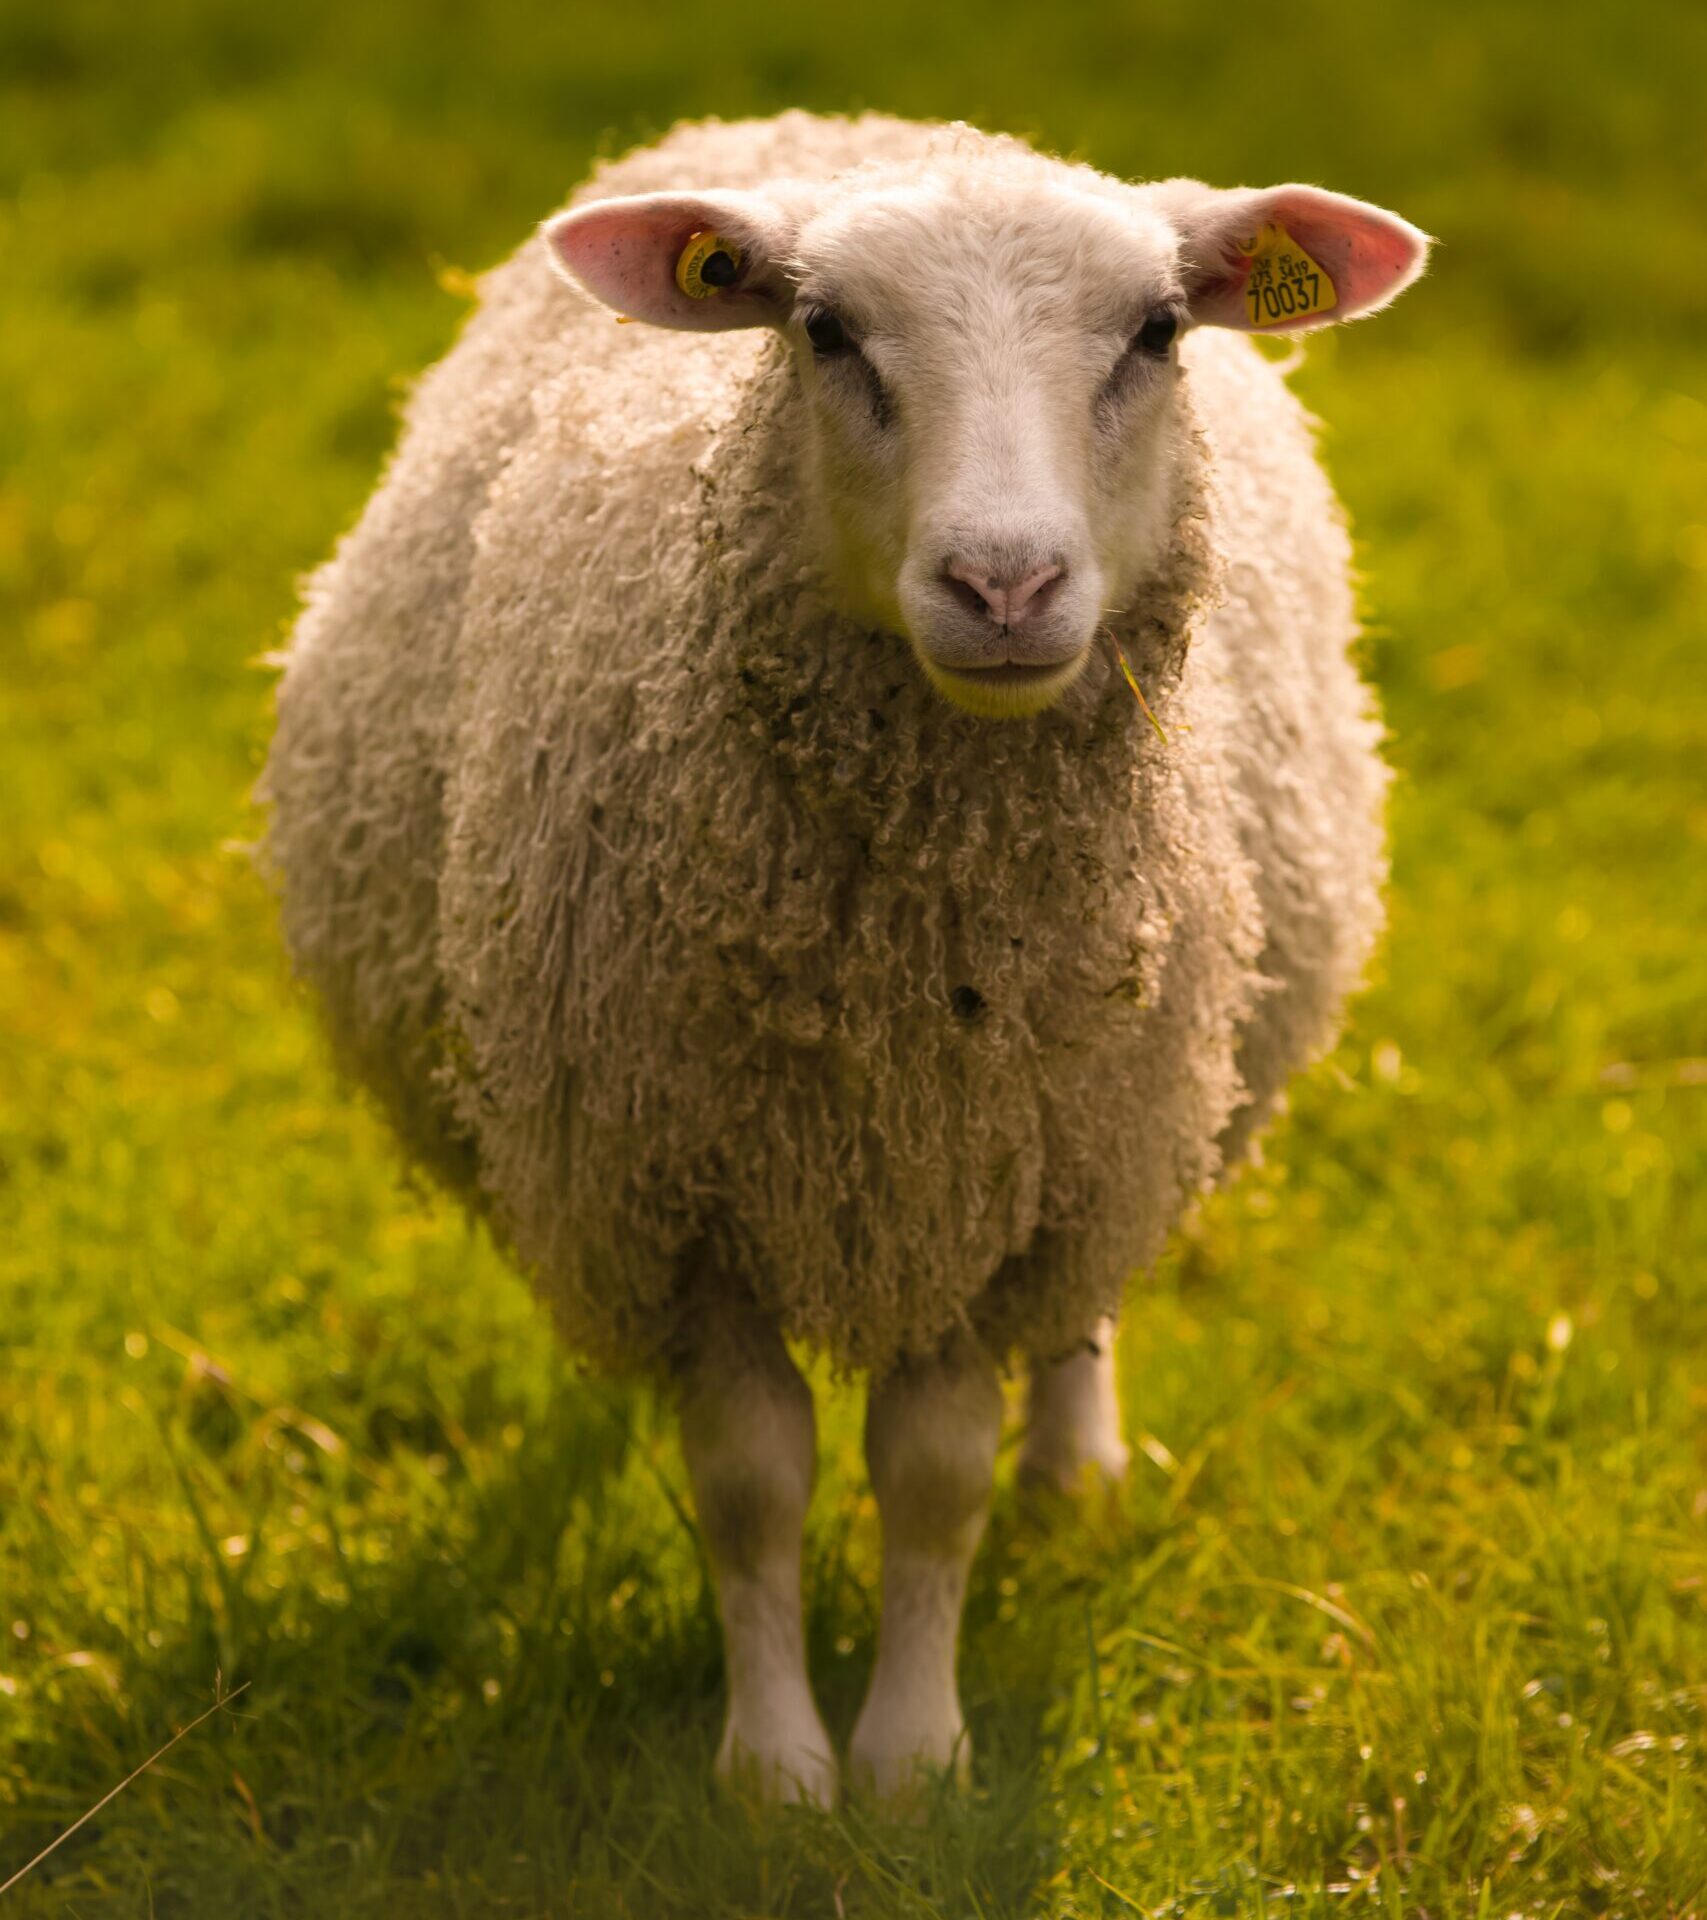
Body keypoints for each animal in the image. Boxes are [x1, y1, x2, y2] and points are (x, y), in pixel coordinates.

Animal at [260, 110, 1429, 1806]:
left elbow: (932, 1477)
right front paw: (774, 1769)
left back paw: (1073, 1467)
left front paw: (910, 1757)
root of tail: (869, 125)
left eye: (1156, 332)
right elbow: (751, 1482)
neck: (901, 981)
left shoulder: (983, 1183)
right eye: (821, 333)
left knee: (1077, 1316)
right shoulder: (678, 1194)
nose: (1001, 585)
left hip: (1119, 1127)